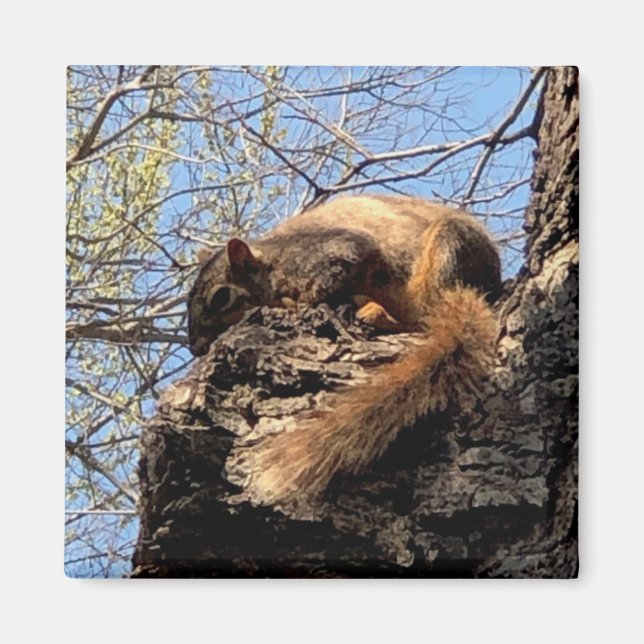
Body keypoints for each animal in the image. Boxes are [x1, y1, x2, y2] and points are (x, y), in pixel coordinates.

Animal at [188, 194, 502, 512]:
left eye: (220, 297)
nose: (195, 347)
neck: (272, 263)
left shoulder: (324, 255)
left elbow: (333, 275)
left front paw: (293, 305)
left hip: (448, 249)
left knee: (423, 315)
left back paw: (380, 315)